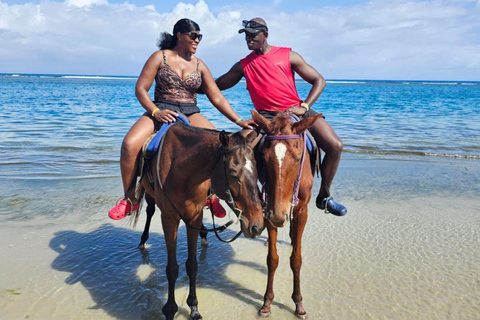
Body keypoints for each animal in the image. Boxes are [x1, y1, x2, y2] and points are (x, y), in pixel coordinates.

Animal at [133, 123, 264, 320]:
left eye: (256, 171)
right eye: (233, 174)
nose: (257, 226)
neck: (181, 168)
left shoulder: (194, 216)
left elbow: (192, 265)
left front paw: (194, 307)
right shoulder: (169, 219)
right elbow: (172, 269)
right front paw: (170, 309)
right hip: (149, 194)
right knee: (149, 211)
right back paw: (142, 241)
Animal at [251, 109, 322, 318]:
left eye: (298, 158)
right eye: (264, 157)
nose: (279, 215)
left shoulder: (301, 211)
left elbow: (296, 259)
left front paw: (298, 303)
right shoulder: (269, 208)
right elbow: (272, 259)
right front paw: (267, 302)